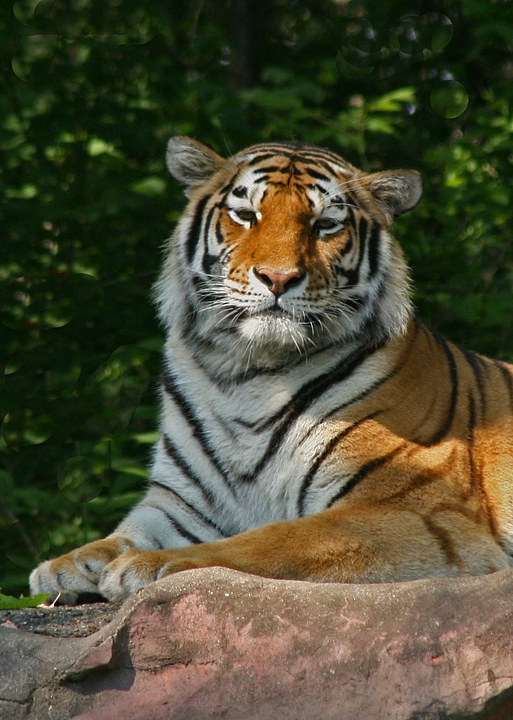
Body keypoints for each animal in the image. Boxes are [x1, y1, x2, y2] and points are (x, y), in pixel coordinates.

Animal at [30, 137, 513, 605]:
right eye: (246, 215)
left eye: (325, 225)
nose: (278, 278)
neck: (245, 374)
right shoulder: (180, 503)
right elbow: (123, 534)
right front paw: (64, 566)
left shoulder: (419, 511)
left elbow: (271, 539)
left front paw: (151, 564)